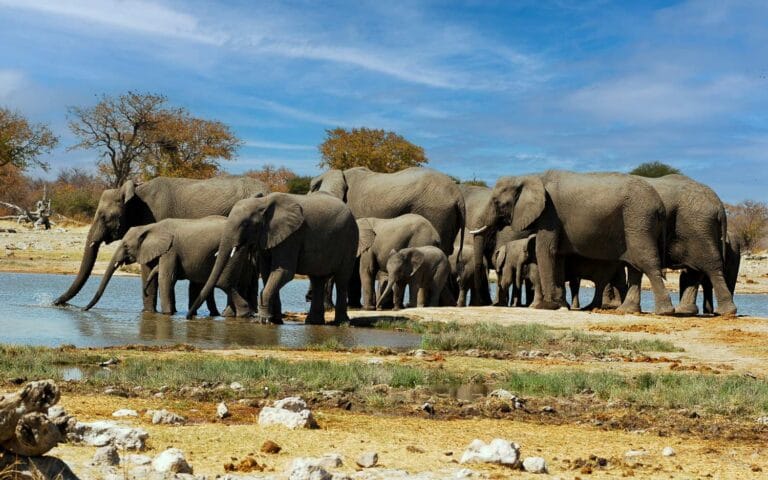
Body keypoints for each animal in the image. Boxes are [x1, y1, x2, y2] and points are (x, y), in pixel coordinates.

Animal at [83, 216, 257, 316]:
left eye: (125, 246)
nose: (82, 310)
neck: (151, 227)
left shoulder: (171, 250)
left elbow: (166, 279)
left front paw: (167, 314)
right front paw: (170, 313)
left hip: (233, 254)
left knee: (225, 283)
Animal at [188, 192, 358, 325]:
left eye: (245, 224)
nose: (188, 317)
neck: (263, 203)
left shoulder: (292, 236)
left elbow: (284, 272)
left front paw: (263, 321)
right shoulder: (268, 237)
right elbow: (267, 272)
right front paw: (275, 320)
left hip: (350, 240)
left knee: (342, 279)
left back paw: (341, 323)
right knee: (317, 279)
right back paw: (313, 323)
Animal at [471, 170, 674, 314]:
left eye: (496, 202)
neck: (530, 177)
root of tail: (660, 206)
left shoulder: (549, 214)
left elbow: (546, 251)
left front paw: (546, 306)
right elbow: (558, 255)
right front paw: (560, 304)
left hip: (638, 220)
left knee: (646, 262)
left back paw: (664, 312)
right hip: (636, 223)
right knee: (634, 267)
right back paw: (626, 310)